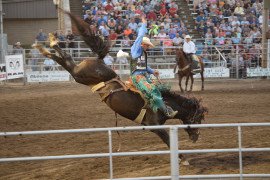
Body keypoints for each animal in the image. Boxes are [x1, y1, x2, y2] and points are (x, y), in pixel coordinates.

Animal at [33, 11, 207, 165]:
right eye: (197, 117)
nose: (196, 137)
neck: (165, 103)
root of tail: (99, 60)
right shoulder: (154, 126)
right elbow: (168, 141)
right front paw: (183, 159)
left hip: (81, 76)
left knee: (66, 60)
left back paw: (47, 44)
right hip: (80, 75)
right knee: (68, 61)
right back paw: (49, 43)